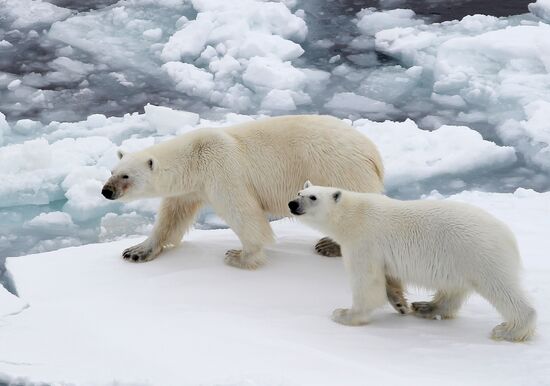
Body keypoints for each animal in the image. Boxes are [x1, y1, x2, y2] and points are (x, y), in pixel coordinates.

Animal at [102, 114, 406, 310]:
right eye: (112, 171)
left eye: (126, 176)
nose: (106, 191)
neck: (194, 157)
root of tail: (373, 153)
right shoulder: (190, 188)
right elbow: (171, 217)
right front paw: (136, 251)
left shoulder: (222, 170)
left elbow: (243, 213)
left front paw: (239, 256)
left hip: (340, 171)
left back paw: (329, 246)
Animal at [294, 182, 540, 340]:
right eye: (299, 191)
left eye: (313, 197)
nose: (292, 204)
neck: (353, 215)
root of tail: (508, 235)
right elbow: (387, 278)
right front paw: (400, 303)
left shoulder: (364, 243)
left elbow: (367, 285)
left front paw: (345, 314)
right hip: (460, 259)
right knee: (453, 290)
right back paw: (426, 307)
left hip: (480, 254)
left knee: (502, 289)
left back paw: (509, 330)